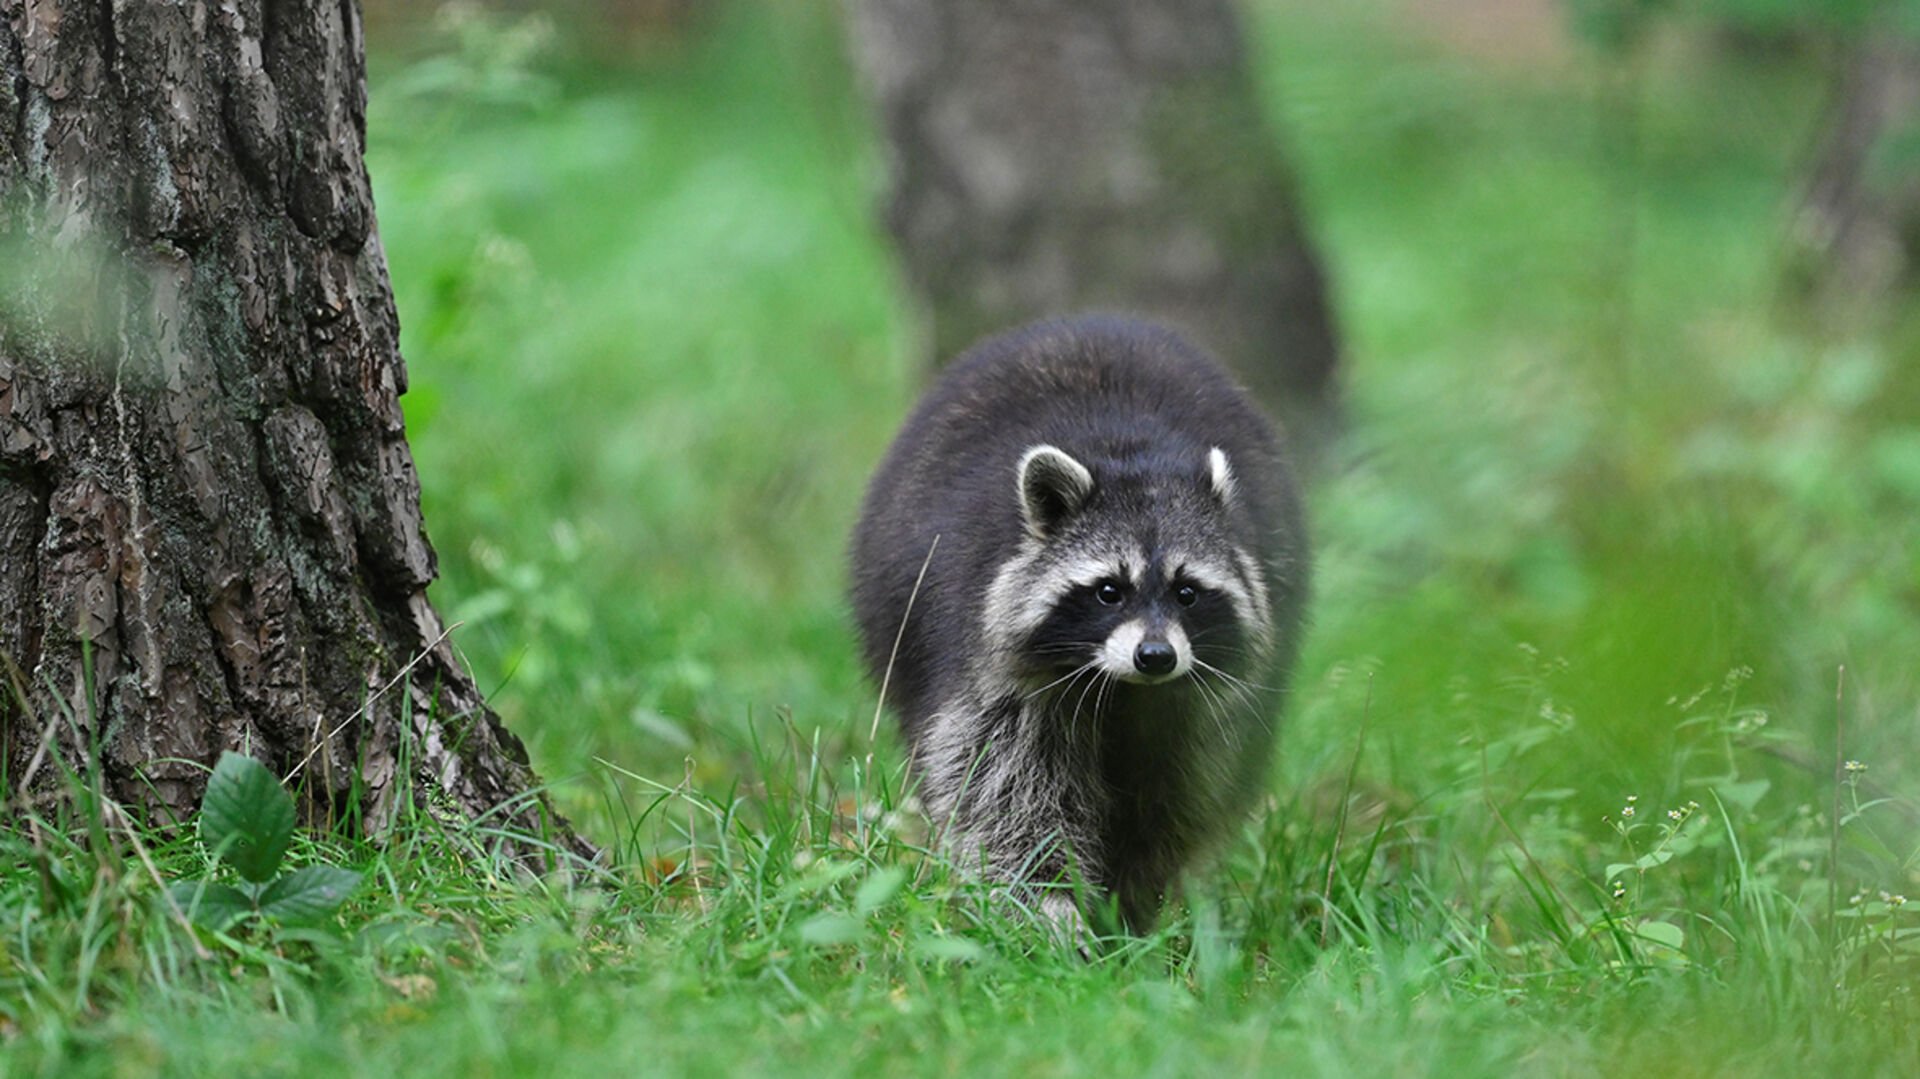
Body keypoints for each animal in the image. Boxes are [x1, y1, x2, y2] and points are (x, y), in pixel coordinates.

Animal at [852, 311, 1313, 925]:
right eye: (1109, 591)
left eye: (1187, 592)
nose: (1155, 657)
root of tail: (1083, 322)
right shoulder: (989, 656)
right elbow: (1001, 785)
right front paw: (1047, 905)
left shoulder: (1210, 694)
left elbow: (1181, 793)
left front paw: (1132, 895)